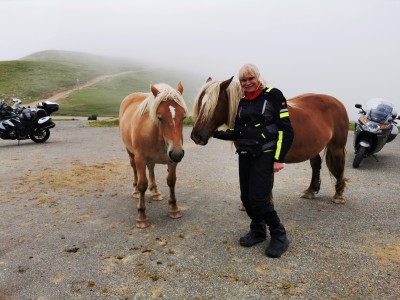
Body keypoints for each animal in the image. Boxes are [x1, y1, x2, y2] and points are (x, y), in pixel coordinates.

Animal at [119, 82, 188, 227]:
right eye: (160, 117)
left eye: (183, 117)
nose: (178, 153)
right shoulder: (140, 159)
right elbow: (142, 185)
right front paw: (141, 215)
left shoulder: (172, 159)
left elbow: (171, 181)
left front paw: (173, 208)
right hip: (131, 153)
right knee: (134, 169)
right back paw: (135, 191)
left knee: (151, 168)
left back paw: (155, 192)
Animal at [189, 77, 348, 204]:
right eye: (200, 102)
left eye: (214, 105)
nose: (196, 136)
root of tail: (338, 103)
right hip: (313, 147)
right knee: (316, 165)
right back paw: (311, 191)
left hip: (337, 147)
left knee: (340, 165)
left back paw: (339, 195)